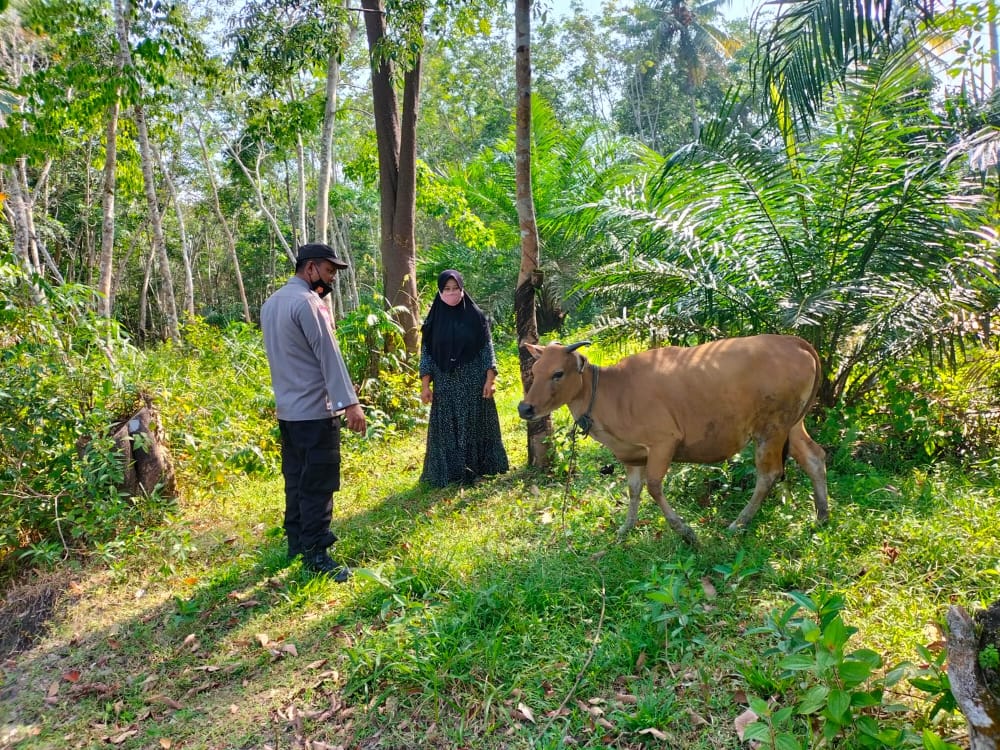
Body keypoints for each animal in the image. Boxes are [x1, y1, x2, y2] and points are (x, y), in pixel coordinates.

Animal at [516, 338, 828, 548]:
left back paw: (737, 523)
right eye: (535, 371)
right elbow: (633, 491)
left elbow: (654, 487)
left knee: (769, 474)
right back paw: (822, 515)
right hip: (791, 424)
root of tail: (794, 341)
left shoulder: (664, 442)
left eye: (558, 373)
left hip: (771, 428)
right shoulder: (631, 455)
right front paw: (624, 530)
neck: (610, 392)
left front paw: (685, 531)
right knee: (814, 457)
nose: (525, 408)